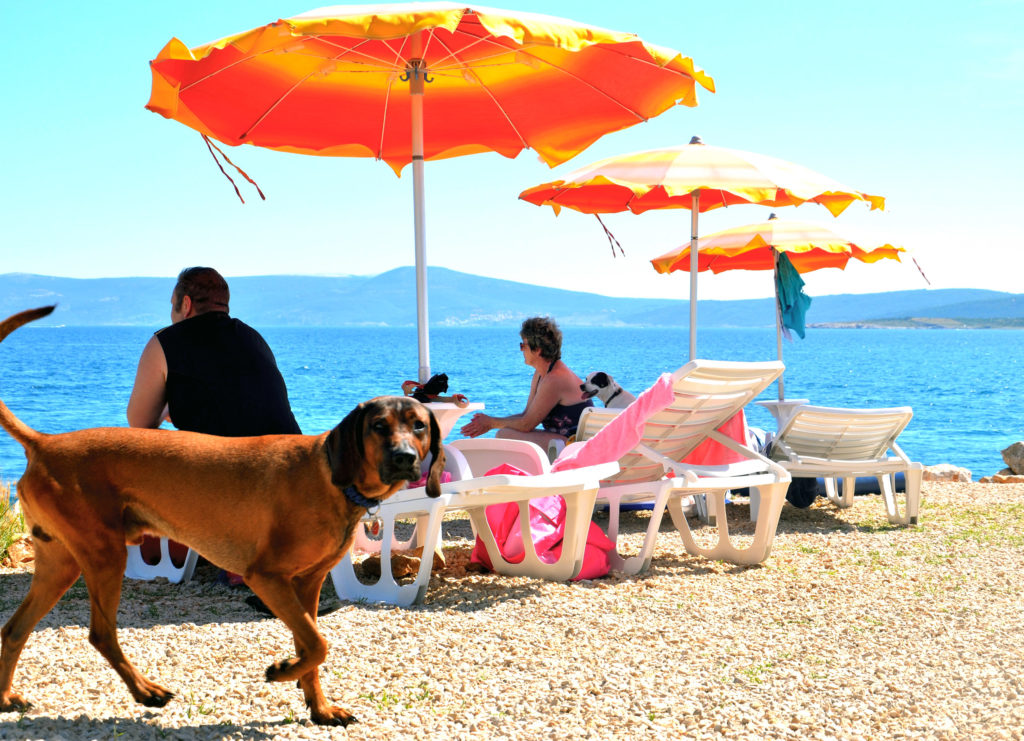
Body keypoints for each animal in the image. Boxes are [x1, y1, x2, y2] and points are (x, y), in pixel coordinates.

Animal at [0, 302, 444, 724]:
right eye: (379, 426)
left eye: (419, 426)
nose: (405, 458)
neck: (331, 477)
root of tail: (44, 443)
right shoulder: (267, 577)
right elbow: (318, 644)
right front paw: (282, 671)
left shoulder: (306, 585)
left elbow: (311, 646)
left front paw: (318, 707)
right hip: (104, 555)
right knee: (100, 634)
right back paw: (146, 691)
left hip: (60, 563)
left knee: (15, 628)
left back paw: (7, 698)